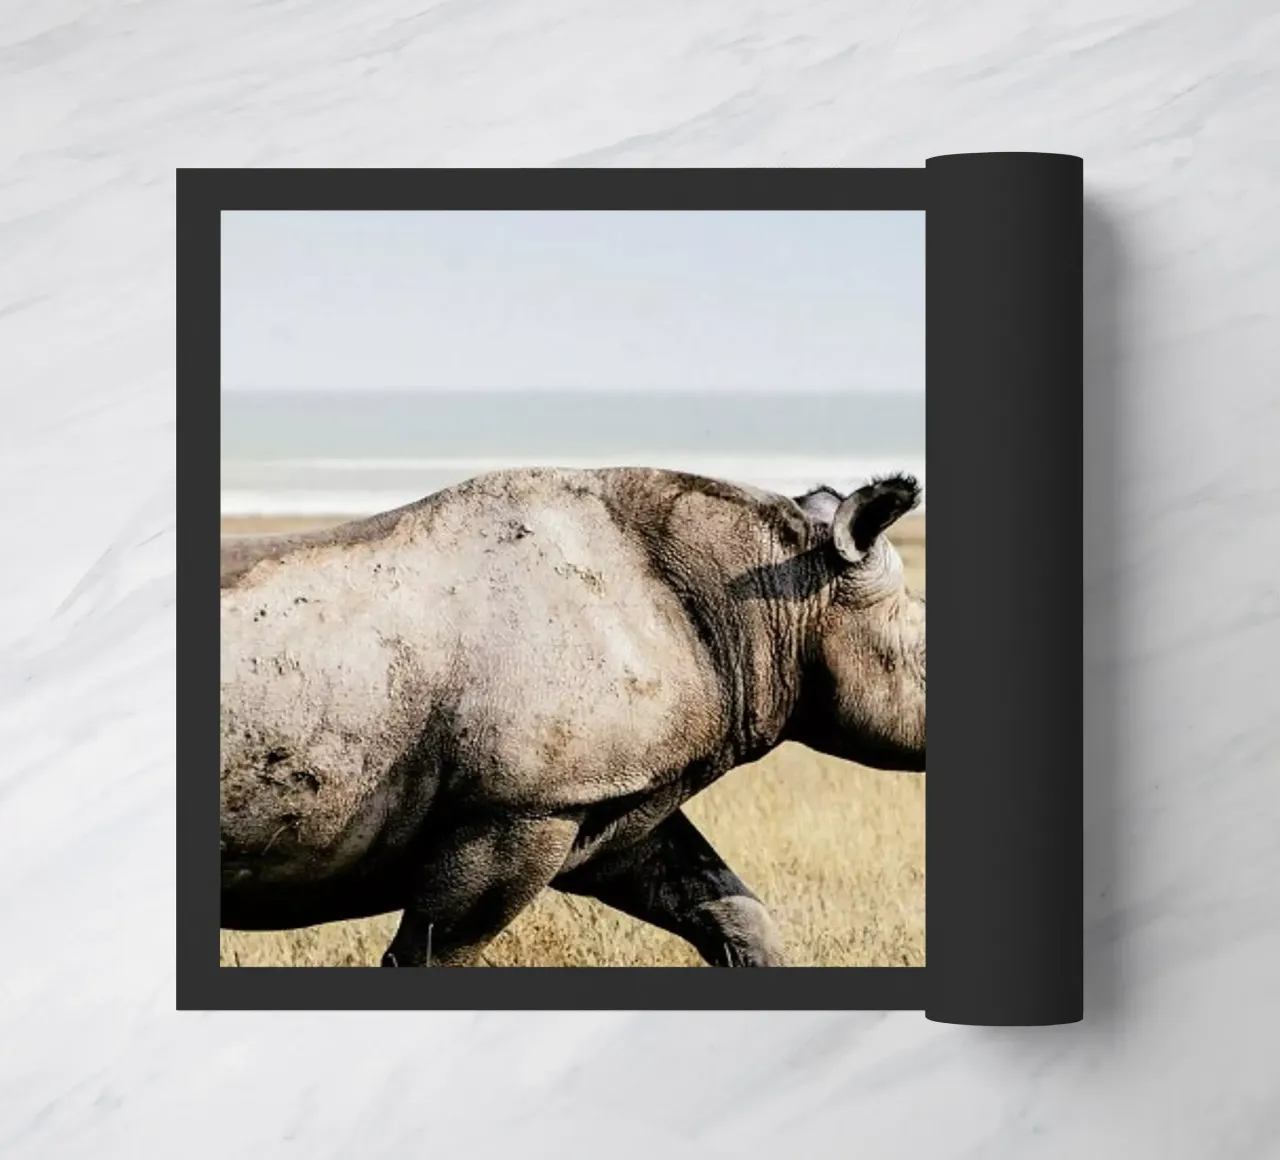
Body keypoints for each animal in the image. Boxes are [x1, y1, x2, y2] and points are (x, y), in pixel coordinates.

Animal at [220, 466, 925, 967]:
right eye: (925, 656)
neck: (773, 603)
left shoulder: (609, 794)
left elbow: (731, 911)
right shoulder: (521, 805)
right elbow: (434, 951)